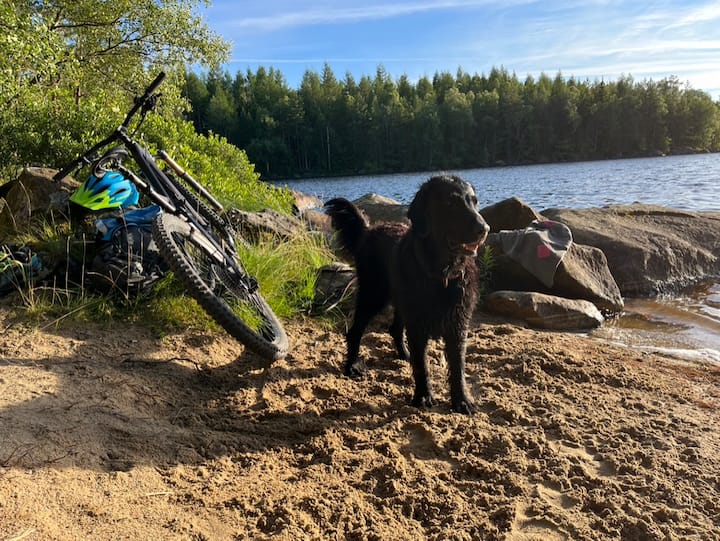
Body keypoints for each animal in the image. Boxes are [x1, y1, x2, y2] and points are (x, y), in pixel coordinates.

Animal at [325, 174, 490, 414]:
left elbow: (458, 366)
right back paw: (352, 366)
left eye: (475, 202)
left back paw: (405, 355)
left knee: (395, 329)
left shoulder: (458, 324)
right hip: (373, 296)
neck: (441, 273)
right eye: (450, 202)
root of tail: (368, 230)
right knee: (354, 332)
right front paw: (423, 396)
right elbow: (422, 366)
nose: (484, 228)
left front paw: (462, 401)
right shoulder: (418, 324)